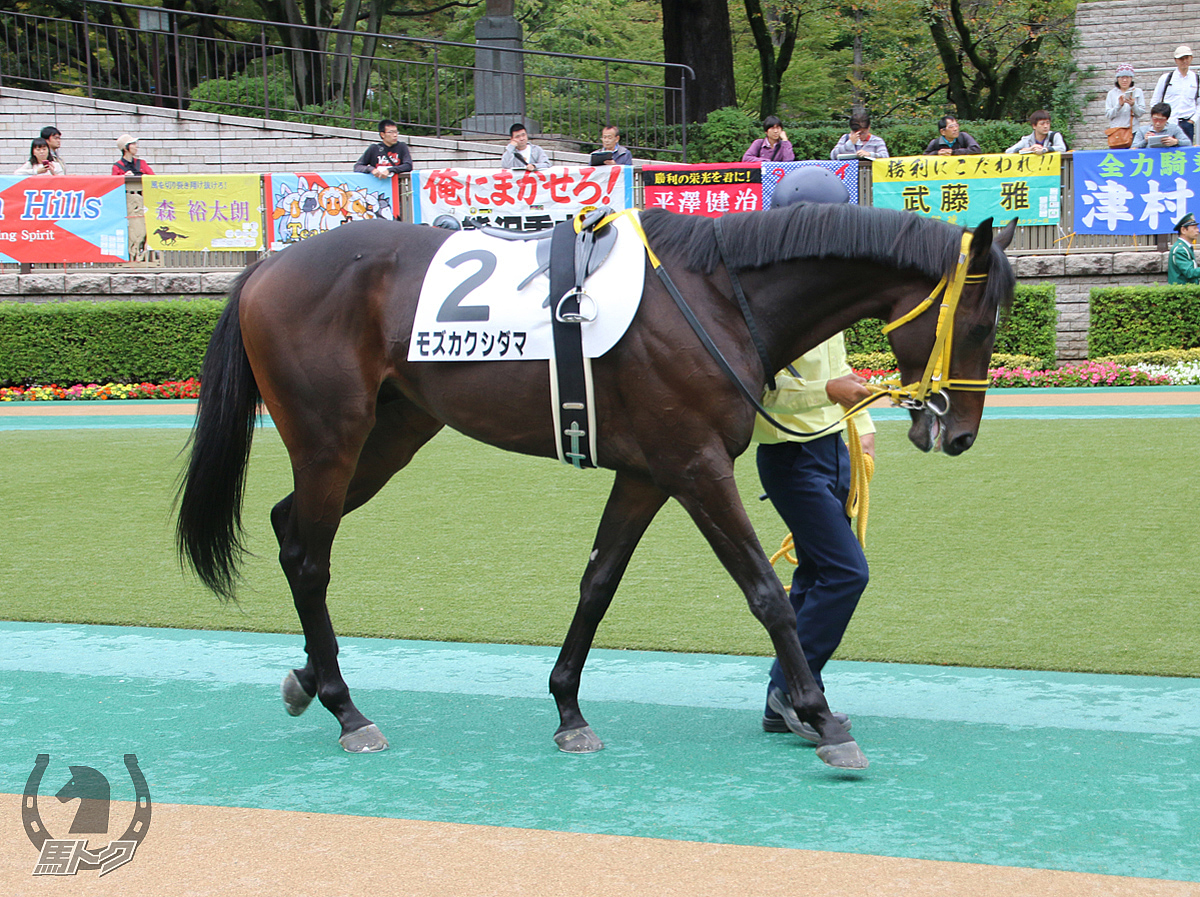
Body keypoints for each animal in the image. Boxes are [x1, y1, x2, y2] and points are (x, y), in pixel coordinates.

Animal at [177, 202, 1017, 772]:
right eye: (981, 324)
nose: (959, 434)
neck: (715, 295)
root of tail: (265, 266)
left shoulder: (647, 471)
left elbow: (599, 581)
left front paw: (568, 707)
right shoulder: (696, 464)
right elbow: (766, 591)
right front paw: (821, 713)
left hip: (391, 434)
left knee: (290, 526)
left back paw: (309, 678)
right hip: (332, 437)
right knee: (309, 557)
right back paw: (348, 709)